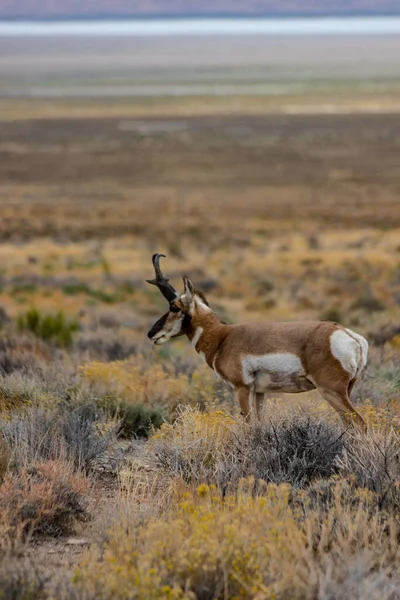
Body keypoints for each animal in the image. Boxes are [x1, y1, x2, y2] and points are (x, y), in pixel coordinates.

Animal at [147, 255, 368, 428]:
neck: (222, 336)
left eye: (174, 307)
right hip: (346, 390)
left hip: (330, 391)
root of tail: (349, 336)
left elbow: (248, 426)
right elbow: (259, 425)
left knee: (359, 423)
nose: (151, 334)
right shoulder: (260, 392)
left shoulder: (242, 389)